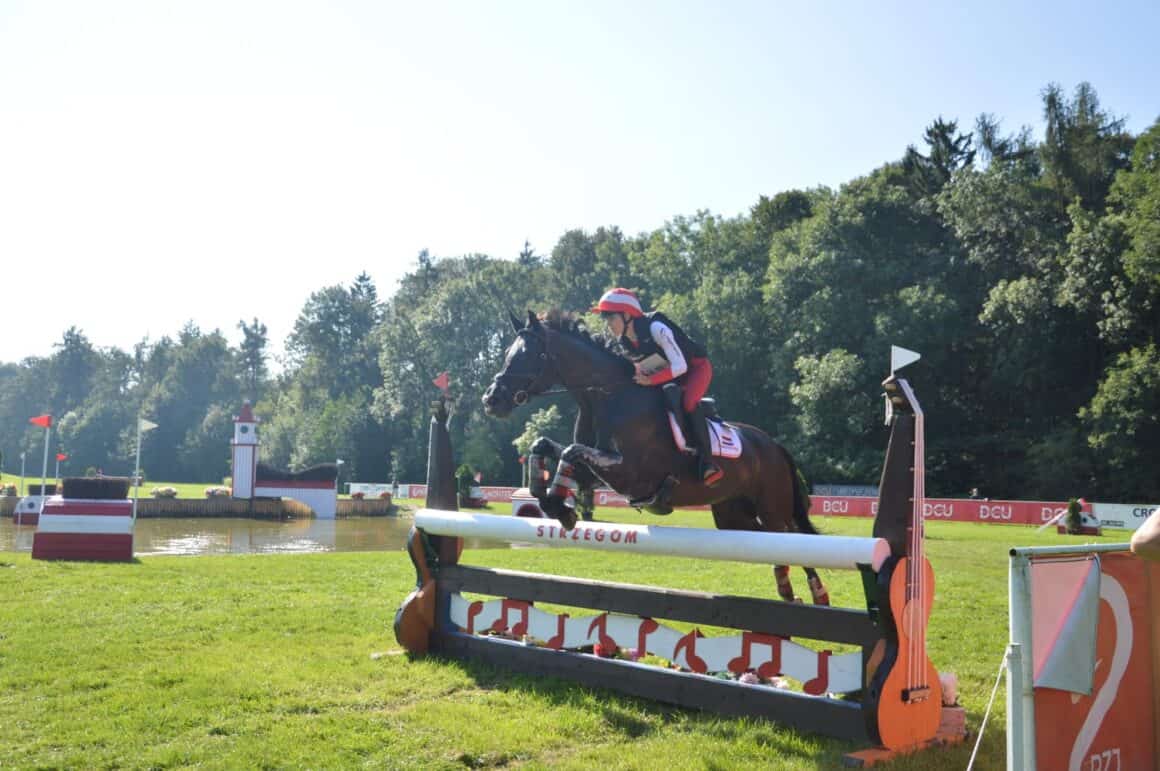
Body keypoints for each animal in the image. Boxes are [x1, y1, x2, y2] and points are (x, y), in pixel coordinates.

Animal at [482, 310, 835, 602]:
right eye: (507, 353)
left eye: (530, 355)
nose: (491, 400)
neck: (609, 396)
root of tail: (773, 445)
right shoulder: (595, 472)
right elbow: (546, 446)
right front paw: (550, 501)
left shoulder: (629, 472)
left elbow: (571, 452)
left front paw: (561, 509)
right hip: (733, 515)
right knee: (771, 542)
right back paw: (787, 589)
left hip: (772, 505)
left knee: (793, 538)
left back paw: (817, 593)